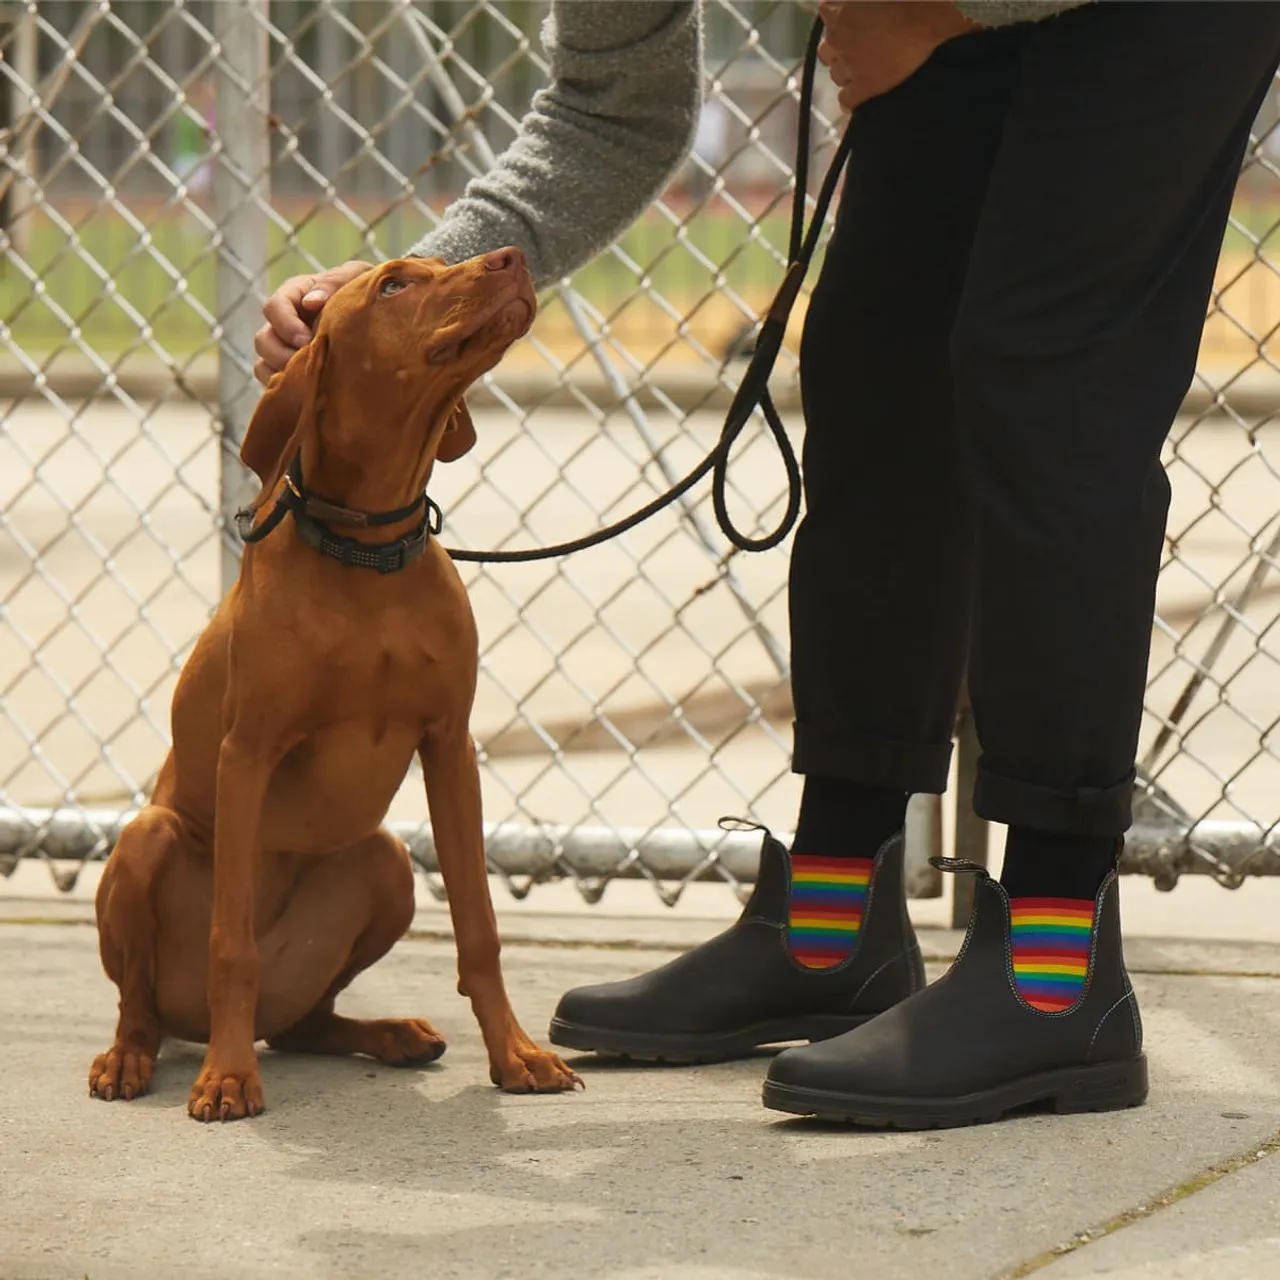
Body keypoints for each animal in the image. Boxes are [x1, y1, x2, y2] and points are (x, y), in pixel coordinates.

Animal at [92, 247, 583, 1121]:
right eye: (393, 284)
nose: (514, 256)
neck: (369, 551)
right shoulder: (247, 752)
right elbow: (231, 944)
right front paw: (227, 1079)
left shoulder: (449, 745)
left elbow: (480, 928)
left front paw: (517, 1054)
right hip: (147, 841)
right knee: (143, 1003)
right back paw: (136, 1056)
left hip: (384, 863)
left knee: (304, 1024)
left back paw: (385, 1034)